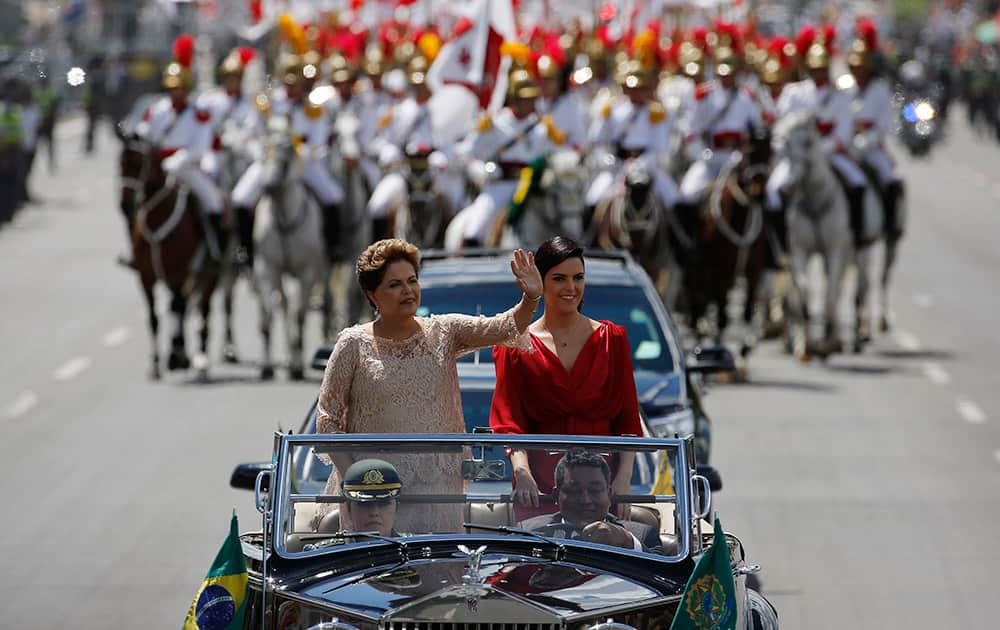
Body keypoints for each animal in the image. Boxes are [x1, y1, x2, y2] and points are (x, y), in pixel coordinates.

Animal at [118, 134, 220, 380]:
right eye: (120, 163)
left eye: (138, 164)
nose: (125, 206)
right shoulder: (145, 277)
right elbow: (154, 318)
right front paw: (156, 363)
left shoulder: (178, 274)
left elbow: (177, 309)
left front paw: (177, 357)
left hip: (209, 277)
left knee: (200, 310)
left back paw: (197, 358)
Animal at [254, 117, 328, 380]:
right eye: (262, 153)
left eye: (286, 156)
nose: (268, 186)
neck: (285, 220)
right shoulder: (267, 268)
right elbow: (267, 316)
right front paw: (266, 367)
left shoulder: (307, 272)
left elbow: (300, 316)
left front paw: (297, 367)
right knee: (283, 306)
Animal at [680, 132, 772, 360]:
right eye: (748, 151)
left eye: (771, 151)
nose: (759, 194)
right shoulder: (720, 271)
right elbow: (721, 310)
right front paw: (718, 343)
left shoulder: (753, 271)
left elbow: (747, 308)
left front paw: (746, 345)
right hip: (699, 270)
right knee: (699, 297)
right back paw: (700, 329)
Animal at [772, 113, 852, 360]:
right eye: (786, 143)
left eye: (808, 142)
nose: (787, 186)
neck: (815, 203)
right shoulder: (799, 250)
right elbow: (803, 292)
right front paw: (804, 344)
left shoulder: (834, 250)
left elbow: (830, 295)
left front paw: (829, 342)